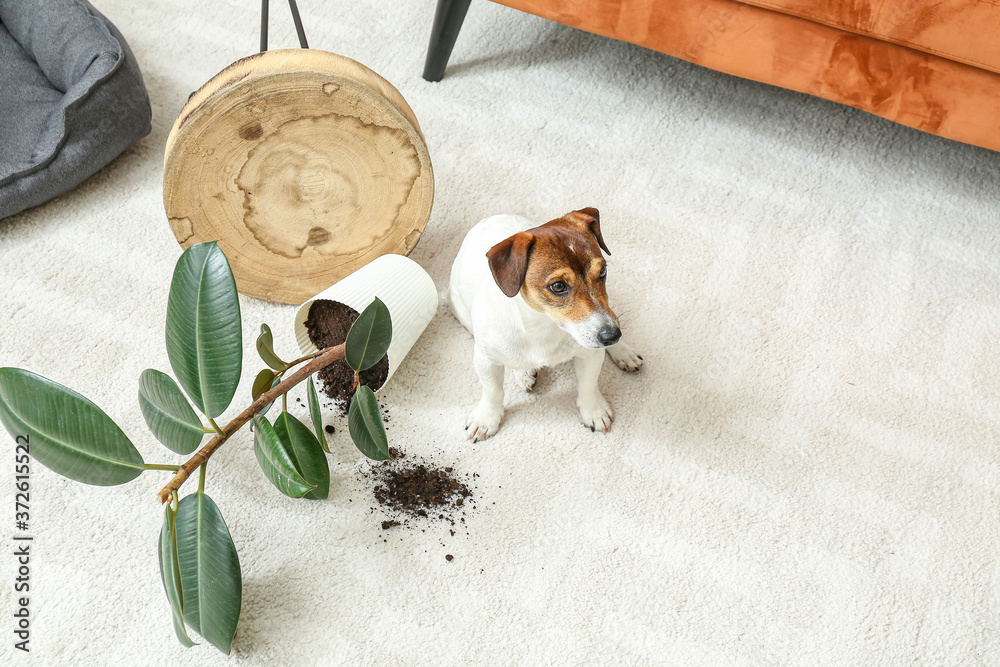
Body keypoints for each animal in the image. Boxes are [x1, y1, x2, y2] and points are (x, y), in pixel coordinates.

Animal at [450, 206, 644, 440]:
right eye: (558, 286)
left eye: (603, 271)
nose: (612, 335)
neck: (544, 324)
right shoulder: (485, 359)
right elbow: (492, 391)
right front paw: (486, 418)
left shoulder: (590, 352)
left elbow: (588, 384)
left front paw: (594, 410)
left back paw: (623, 352)